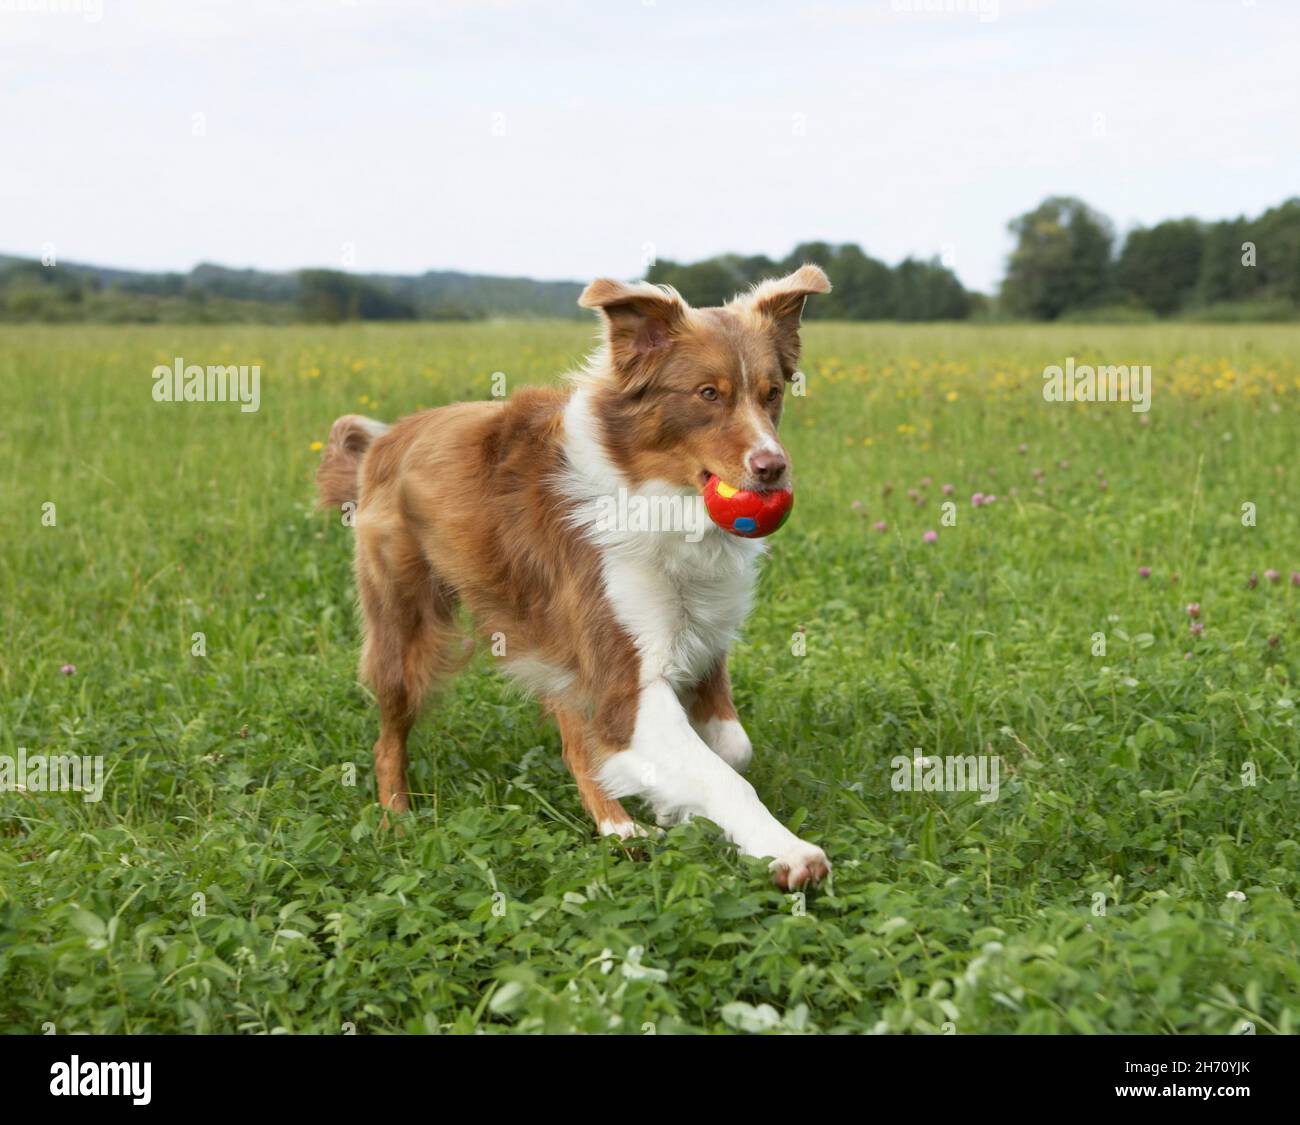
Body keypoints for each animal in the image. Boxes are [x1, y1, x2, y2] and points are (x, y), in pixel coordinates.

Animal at [314, 262, 832, 884]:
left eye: (772, 393)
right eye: (708, 394)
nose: (772, 468)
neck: (660, 497)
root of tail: (384, 439)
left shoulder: (699, 634)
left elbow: (730, 749)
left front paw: (671, 805)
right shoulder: (624, 674)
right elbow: (721, 775)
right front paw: (788, 851)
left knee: (572, 735)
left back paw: (616, 823)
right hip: (405, 628)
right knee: (389, 736)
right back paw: (397, 818)